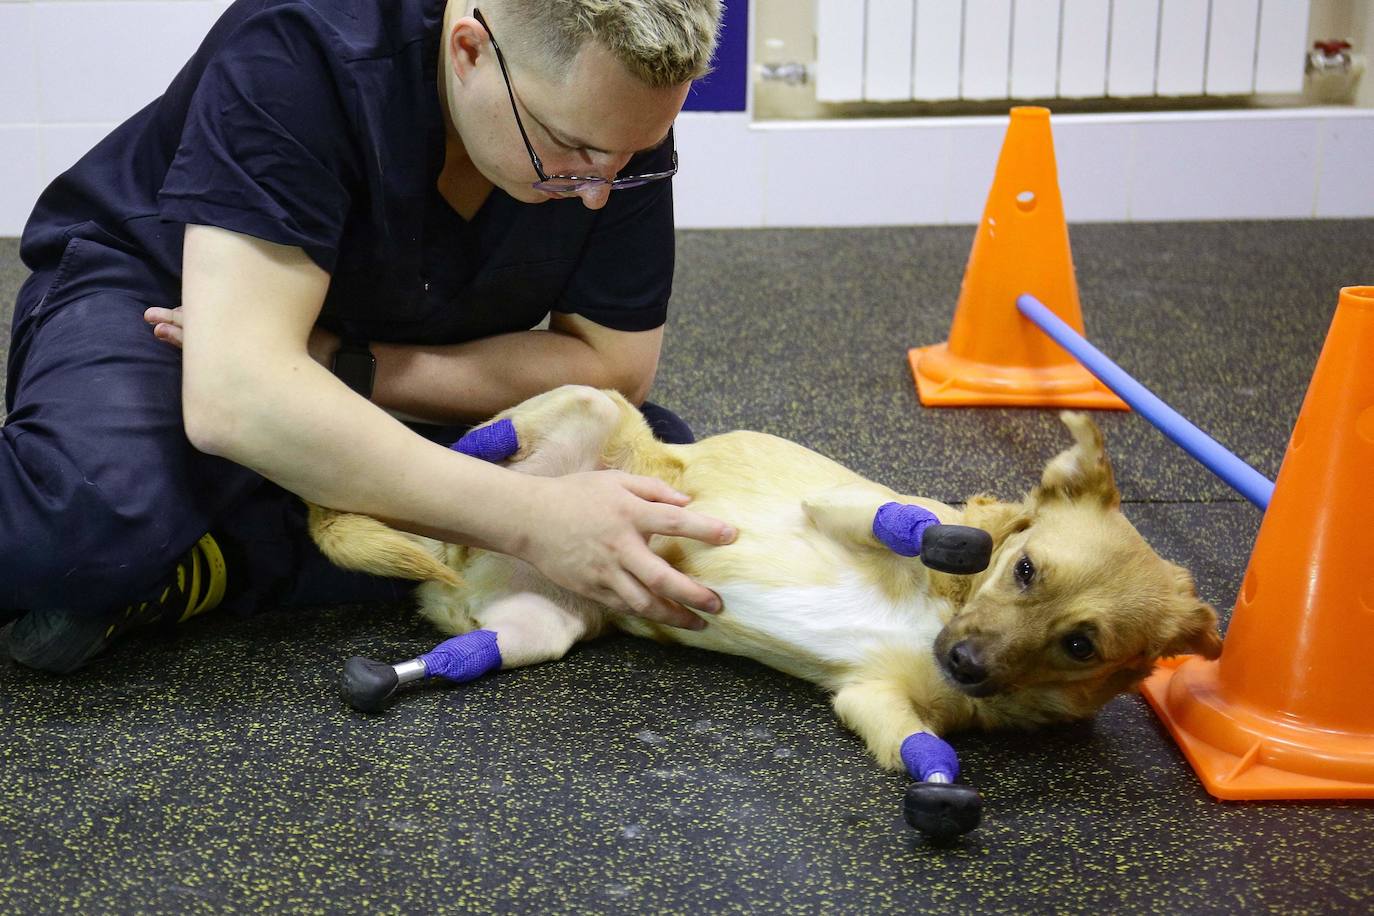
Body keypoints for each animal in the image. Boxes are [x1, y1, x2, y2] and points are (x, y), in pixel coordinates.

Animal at [314, 384, 1225, 823]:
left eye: (1081, 646)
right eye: (1026, 570)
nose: (964, 662)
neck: (945, 616)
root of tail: (453, 556)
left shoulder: (872, 700)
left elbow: (927, 752)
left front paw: (943, 795)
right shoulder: (835, 507)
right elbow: (917, 523)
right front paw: (953, 540)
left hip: (543, 628)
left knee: (459, 646)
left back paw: (387, 675)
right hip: (583, 406)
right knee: (461, 456)